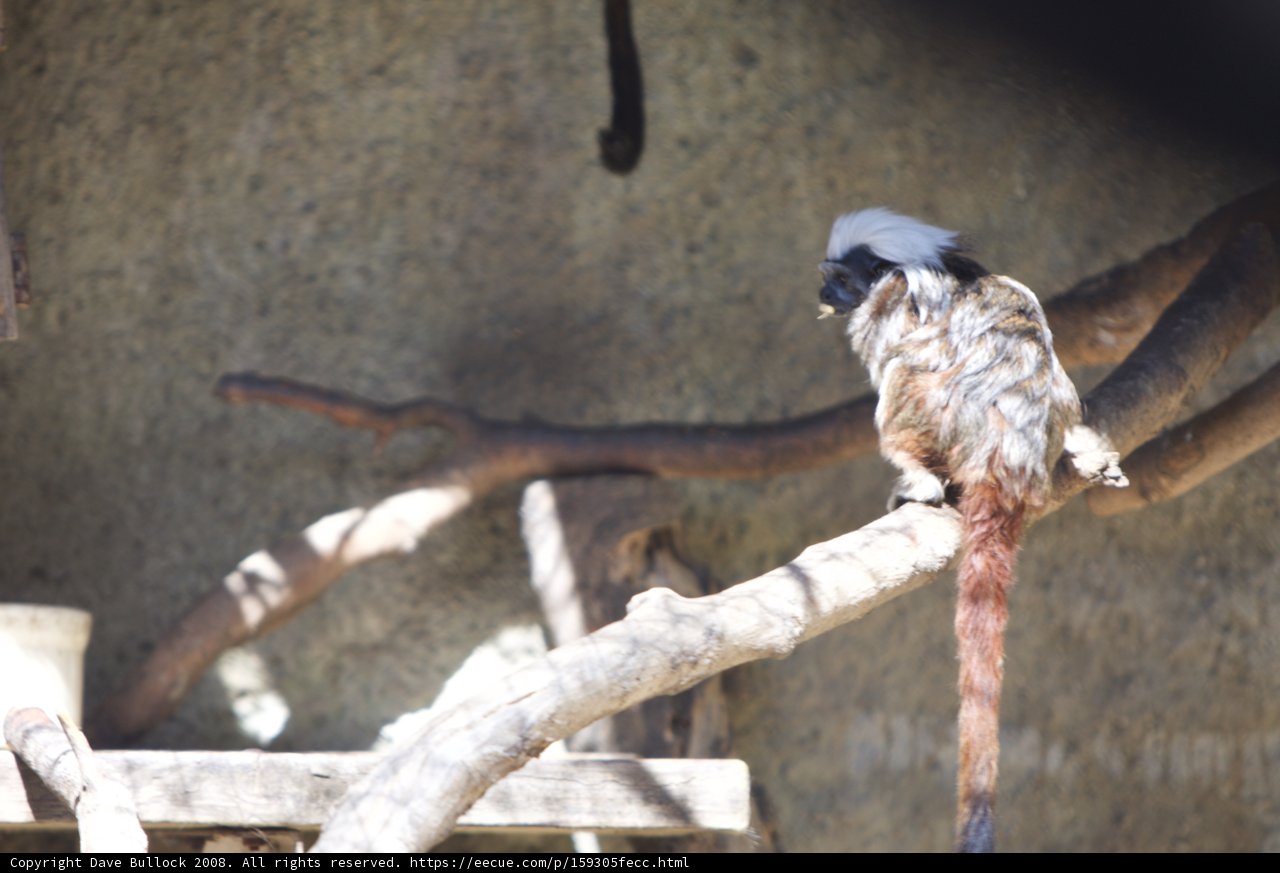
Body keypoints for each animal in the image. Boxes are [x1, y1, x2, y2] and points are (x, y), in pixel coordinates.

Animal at [816, 208, 1126, 852]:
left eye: (841, 279)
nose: (824, 295)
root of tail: (1005, 456)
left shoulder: (893, 300)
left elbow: (895, 356)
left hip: (939, 407)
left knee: (904, 378)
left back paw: (919, 479)